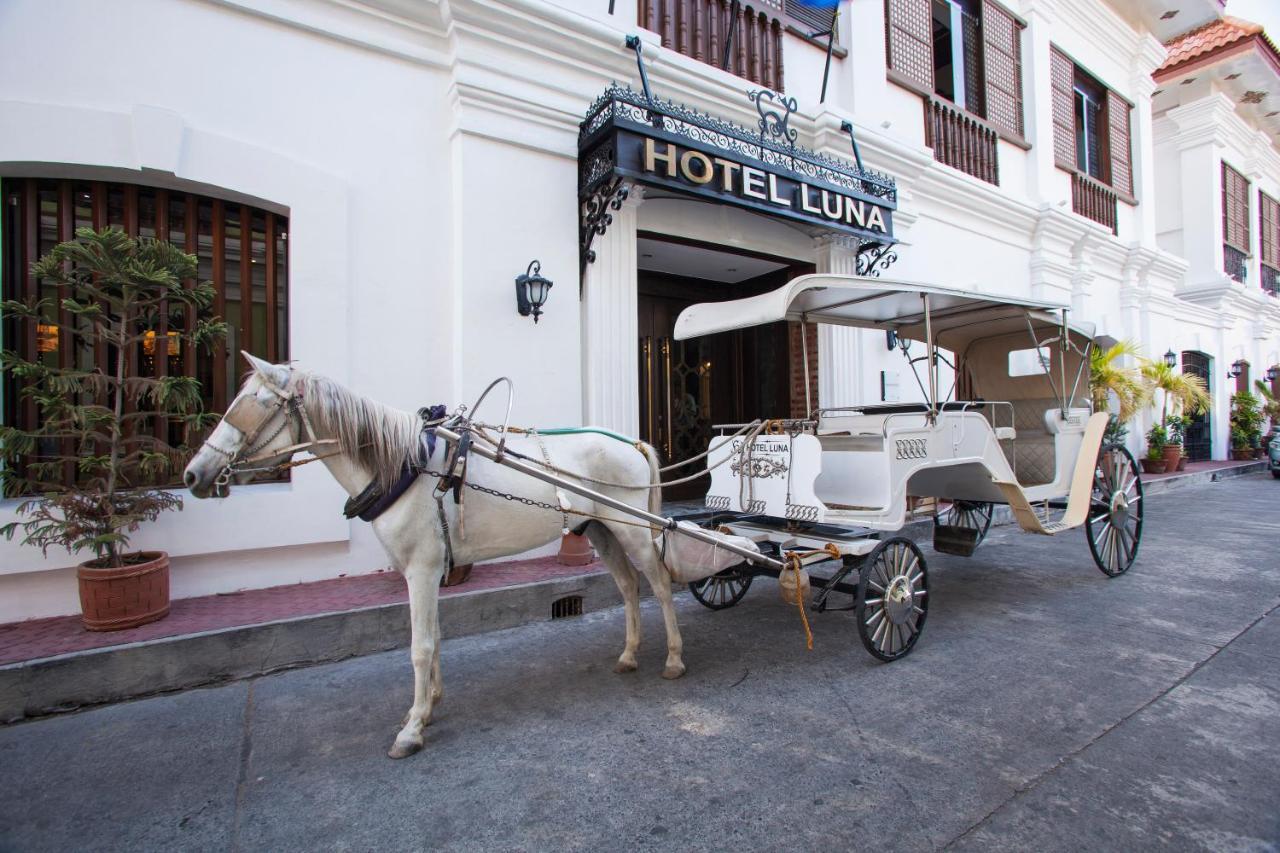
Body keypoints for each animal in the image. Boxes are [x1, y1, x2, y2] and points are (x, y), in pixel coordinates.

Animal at [184, 350, 686, 758]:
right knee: (628, 587)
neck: (404, 465)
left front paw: (411, 729)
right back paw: (629, 654)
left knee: (660, 585)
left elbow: (420, 646)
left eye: (254, 403)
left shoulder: (420, 570)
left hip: (633, 530)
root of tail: (630, 442)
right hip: (601, 530)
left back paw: (674, 659)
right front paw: (428, 707)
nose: (193, 474)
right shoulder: (429, 570)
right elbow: (437, 635)